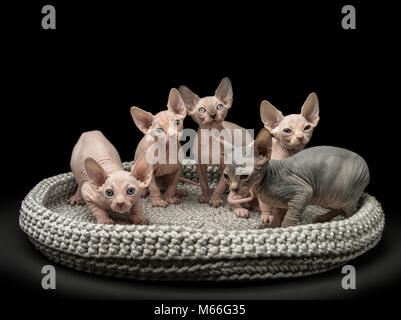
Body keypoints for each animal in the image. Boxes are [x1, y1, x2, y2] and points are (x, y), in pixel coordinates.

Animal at [178, 77, 250, 208]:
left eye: (219, 107)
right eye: (202, 110)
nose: (212, 114)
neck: (210, 138)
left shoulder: (225, 164)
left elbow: (220, 185)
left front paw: (215, 199)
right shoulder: (200, 165)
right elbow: (203, 183)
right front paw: (206, 197)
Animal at [223, 127, 368, 228]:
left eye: (244, 176)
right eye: (226, 176)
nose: (233, 189)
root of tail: (365, 164)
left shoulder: (303, 192)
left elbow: (290, 217)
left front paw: (285, 230)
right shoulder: (278, 203)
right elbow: (277, 215)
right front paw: (271, 226)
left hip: (346, 194)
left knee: (352, 211)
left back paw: (348, 222)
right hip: (333, 196)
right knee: (339, 207)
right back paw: (322, 219)